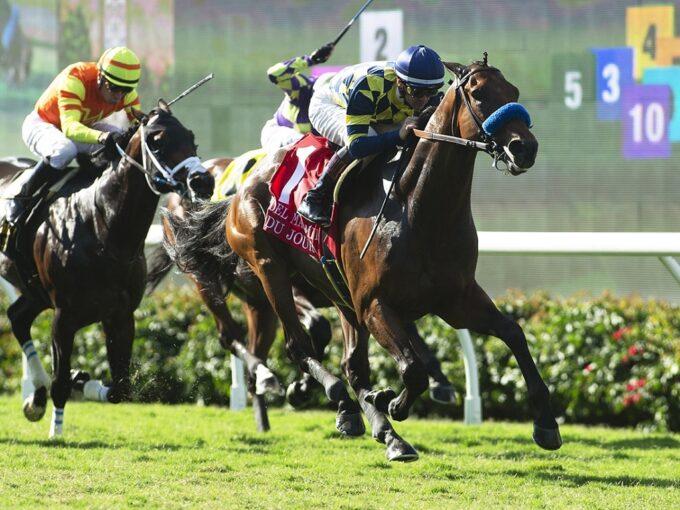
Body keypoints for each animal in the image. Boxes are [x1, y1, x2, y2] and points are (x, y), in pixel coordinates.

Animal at [0, 100, 209, 438]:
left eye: (191, 137)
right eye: (157, 140)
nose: (203, 181)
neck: (101, 227)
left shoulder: (120, 316)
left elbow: (120, 388)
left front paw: (81, 380)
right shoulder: (64, 316)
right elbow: (61, 382)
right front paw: (57, 429)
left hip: (34, 290)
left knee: (17, 317)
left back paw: (37, 396)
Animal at [227, 57, 564, 460]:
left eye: (513, 91)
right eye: (479, 93)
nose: (524, 148)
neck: (419, 211)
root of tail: (247, 179)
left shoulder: (456, 300)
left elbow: (514, 333)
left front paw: (546, 422)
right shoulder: (375, 304)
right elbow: (413, 369)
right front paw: (392, 402)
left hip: (339, 294)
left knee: (351, 364)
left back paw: (373, 426)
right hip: (271, 270)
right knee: (298, 346)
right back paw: (345, 403)